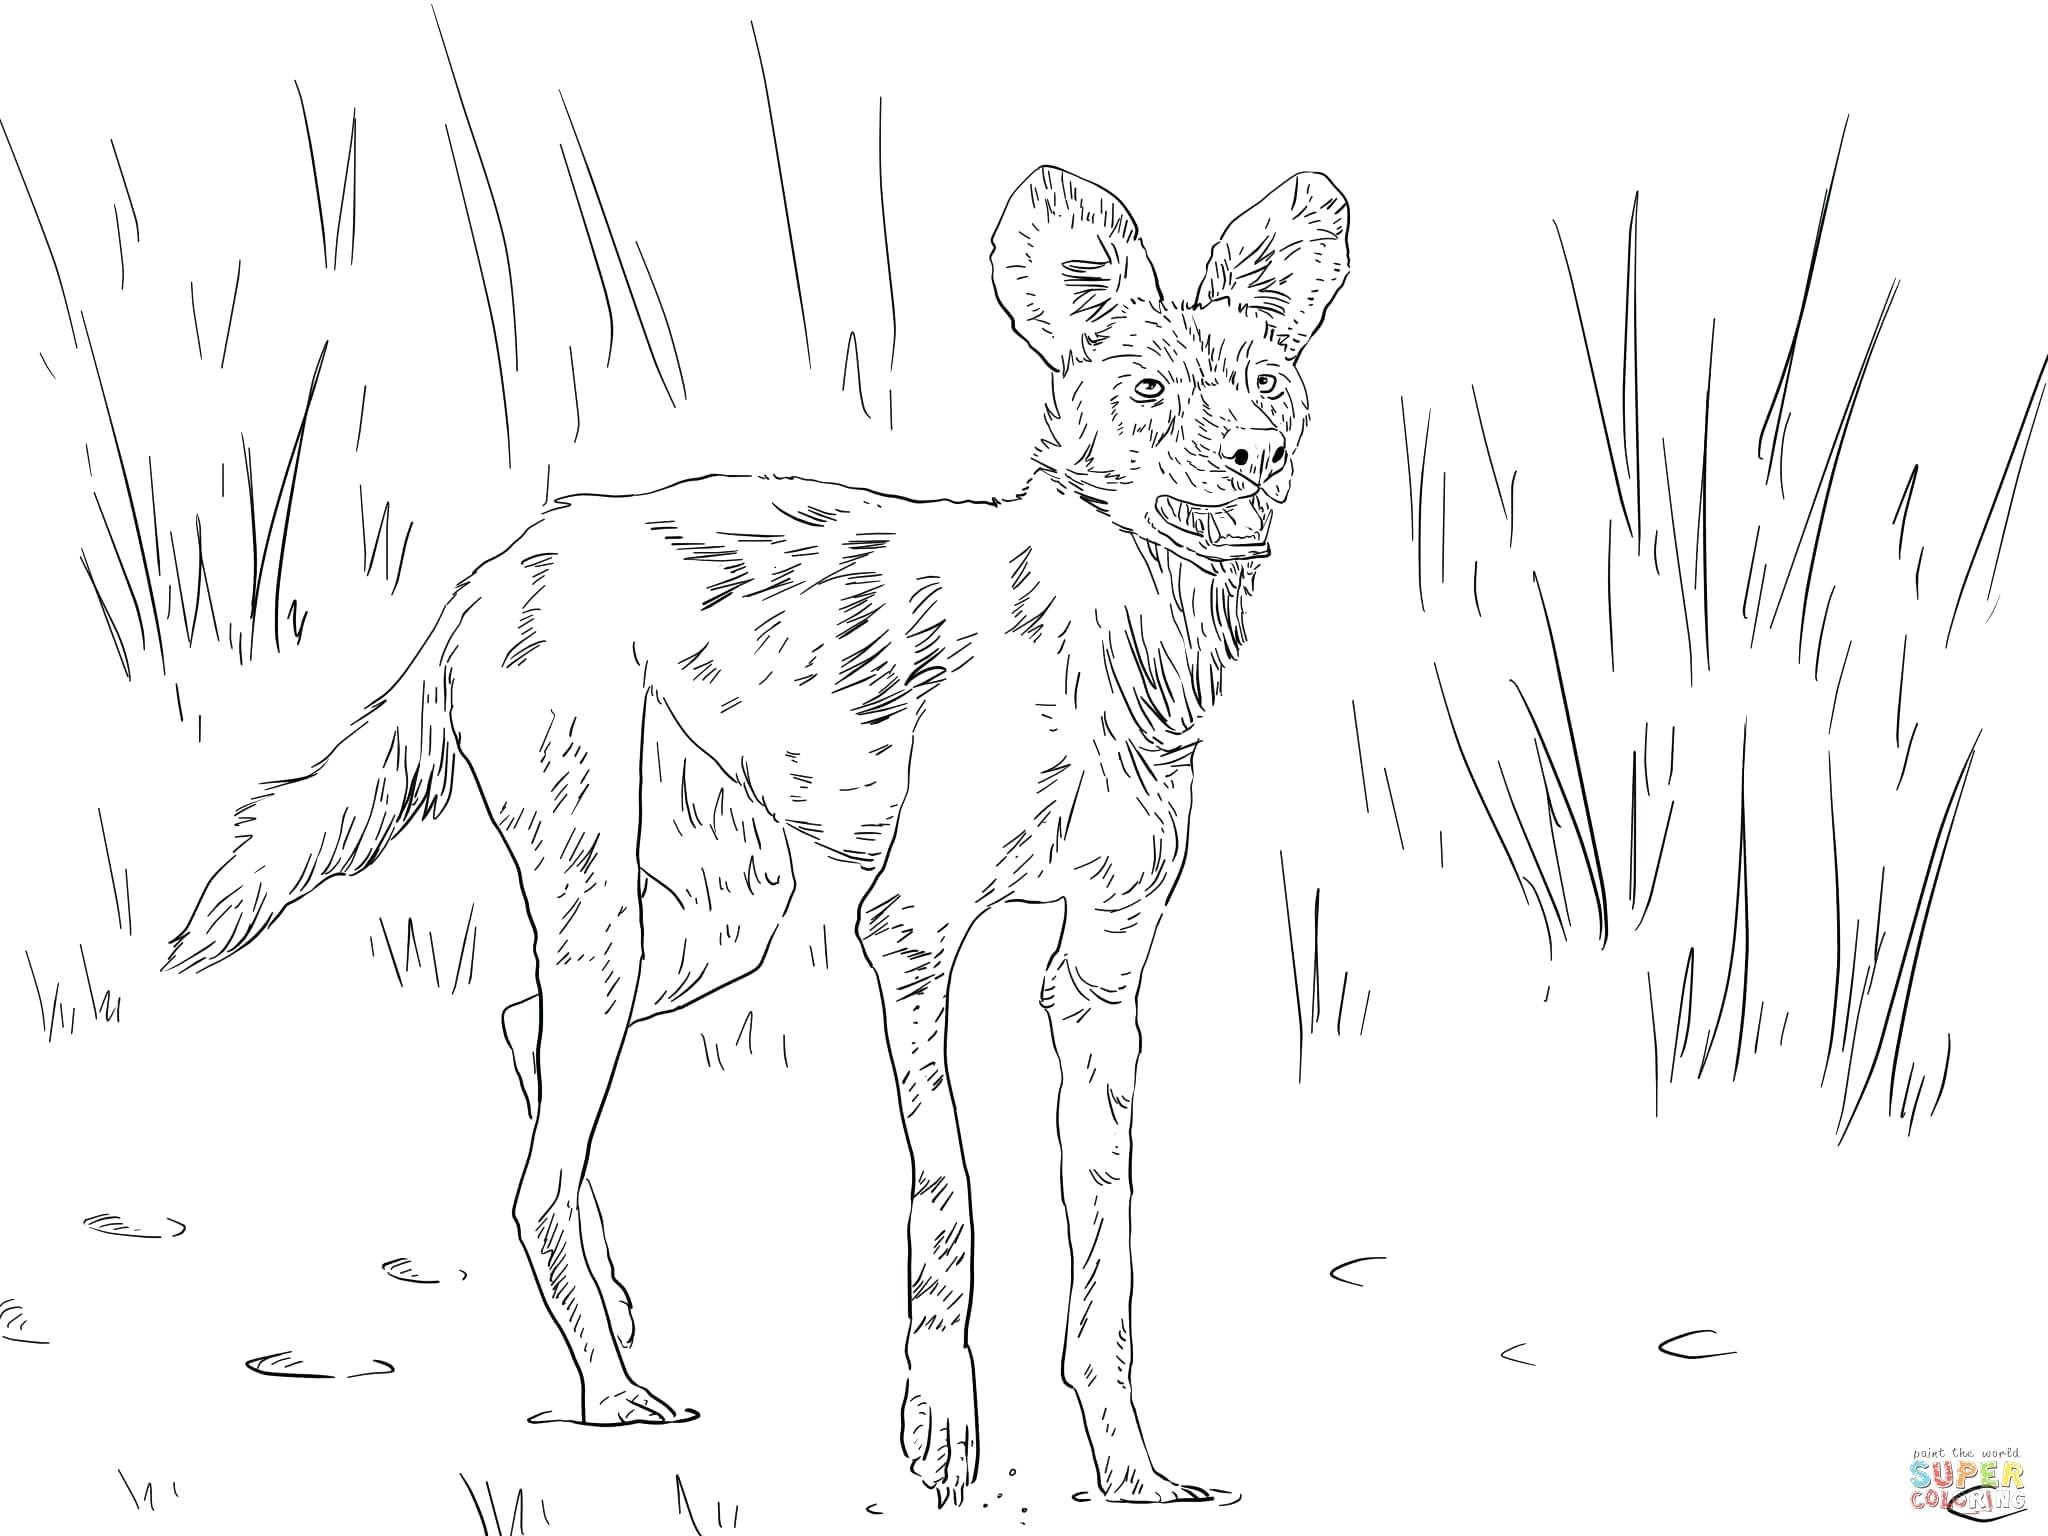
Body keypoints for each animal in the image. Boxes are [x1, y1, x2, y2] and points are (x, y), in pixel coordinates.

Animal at [168, 164, 1349, 1505]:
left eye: (1267, 382)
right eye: (1148, 390)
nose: (1256, 455)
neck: (1114, 642)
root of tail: (500, 563)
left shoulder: (1096, 976)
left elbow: (1106, 1260)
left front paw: (1127, 1470)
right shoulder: (909, 936)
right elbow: (948, 1204)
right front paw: (940, 1430)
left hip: (716, 919)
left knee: (526, 1047)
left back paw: (614, 1305)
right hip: (608, 917)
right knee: (535, 1178)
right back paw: (609, 1391)